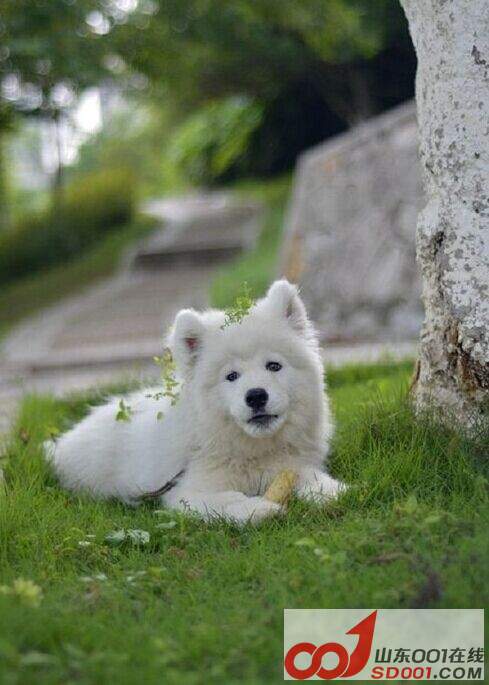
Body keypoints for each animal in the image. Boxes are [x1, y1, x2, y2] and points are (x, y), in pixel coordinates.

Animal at [47, 280, 343, 523]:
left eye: (274, 366)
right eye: (231, 376)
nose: (256, 396)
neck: (251, 451)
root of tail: (63, 441)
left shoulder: (291, 465)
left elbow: (309, 477)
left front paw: (331, 491)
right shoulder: (188, 490)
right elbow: (227, 500)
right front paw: (257, 509)